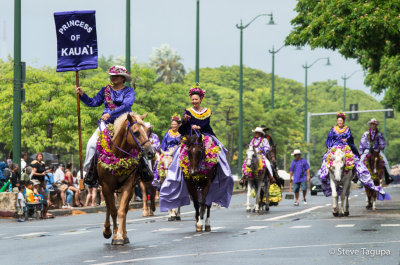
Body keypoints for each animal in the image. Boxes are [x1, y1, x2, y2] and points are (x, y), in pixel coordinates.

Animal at [98, 111, 156, 243]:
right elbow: (113, 210)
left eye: (147, 131)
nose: (151, 152)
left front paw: (120, 236)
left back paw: (124, 234)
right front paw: (114, 234)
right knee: (109, 207)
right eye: (136, 132)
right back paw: (108, 231)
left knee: (125, 208)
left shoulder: (128, 185)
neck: (118, 156)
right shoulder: (106, 187)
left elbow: (121, 211)